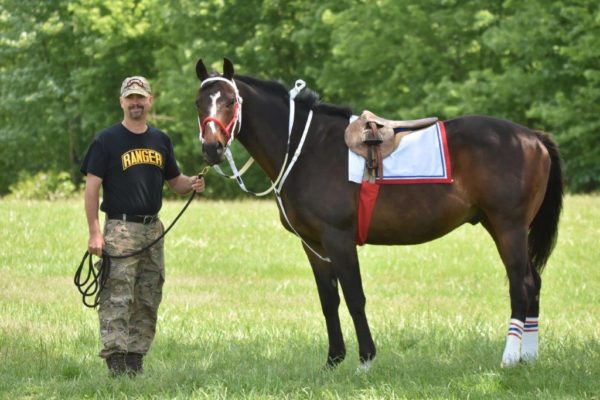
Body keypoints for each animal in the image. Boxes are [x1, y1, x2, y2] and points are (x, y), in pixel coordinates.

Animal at [193, 57, 564, 370]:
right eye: (199, 103)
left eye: (230, 102)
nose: (211, 148)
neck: (304, 148)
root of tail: (532, 137)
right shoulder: (313, 244)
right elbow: (329, 300)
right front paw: (333, 360)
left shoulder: (338, 239)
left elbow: (354, 296)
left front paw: (365, 360)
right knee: (534, 283)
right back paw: (529, 358)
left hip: (508, 228)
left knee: (521, 285)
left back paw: (510, 358)